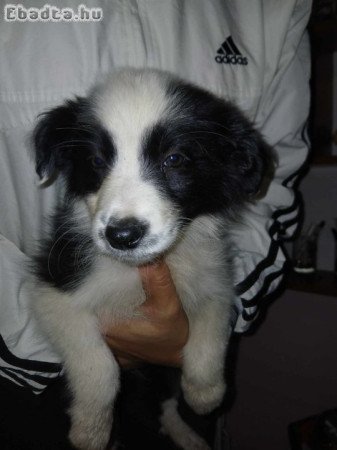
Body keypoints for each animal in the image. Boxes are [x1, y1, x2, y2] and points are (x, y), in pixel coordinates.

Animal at [30, 69, 268, 450]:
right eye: (97, 162)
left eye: (174, 159)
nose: (123, 236)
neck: (137, 268)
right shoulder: (55, 287)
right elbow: (99, 364)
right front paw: (91, 431)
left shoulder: (213, 280)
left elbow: (212, 331)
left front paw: (206, 394)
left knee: (166, 401)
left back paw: (187, 433)